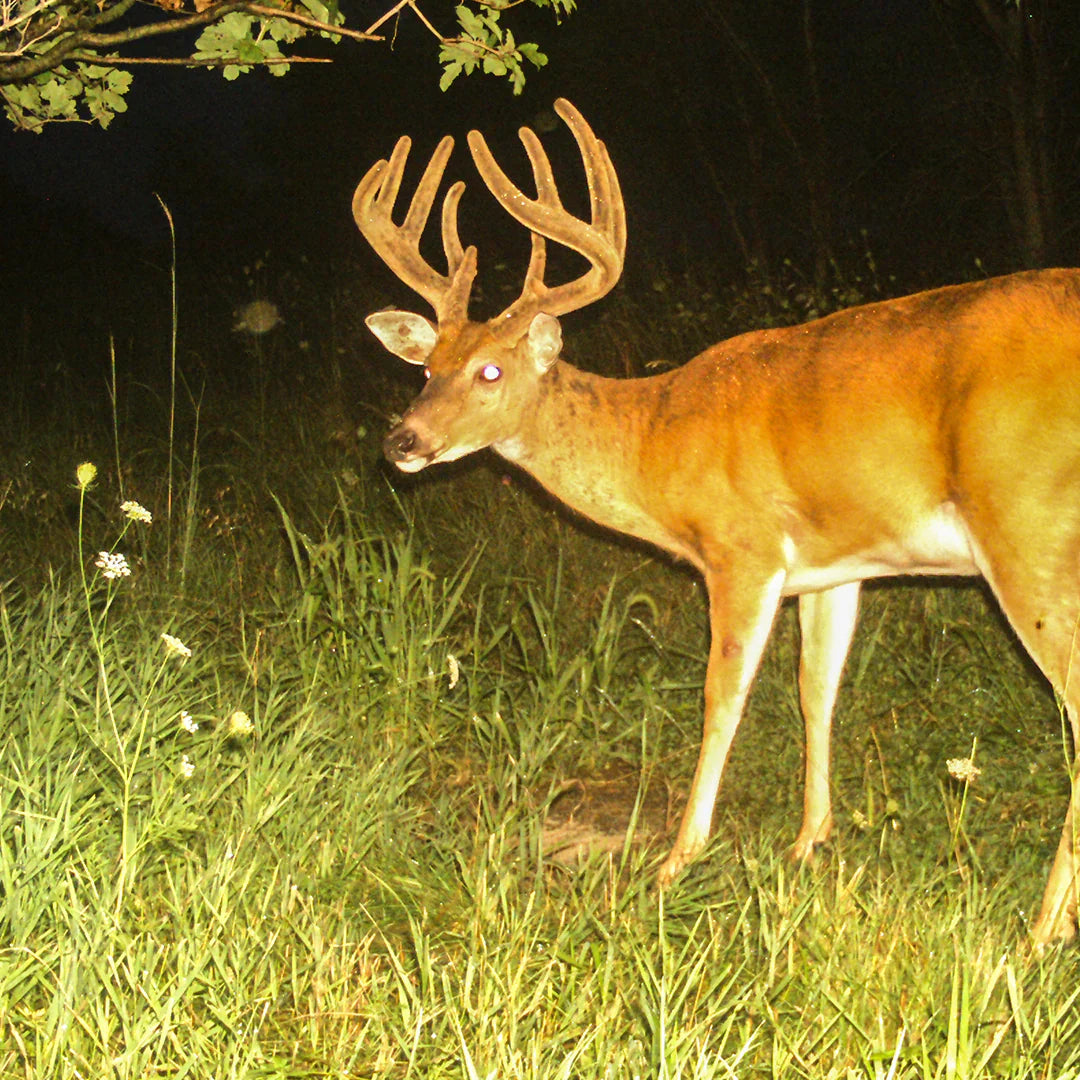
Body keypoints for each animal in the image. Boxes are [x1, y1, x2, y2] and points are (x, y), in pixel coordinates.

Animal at [352, 98, 1080, 946]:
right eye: (424, 368)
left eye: (490, 370)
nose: (401, 442)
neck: (657, 441)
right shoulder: (837, 565)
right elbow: (816, 689)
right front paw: (808, 844)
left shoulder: (743, 549)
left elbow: (720, 697)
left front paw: (676, 861)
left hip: (1023, 524)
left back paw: (1042, 931)